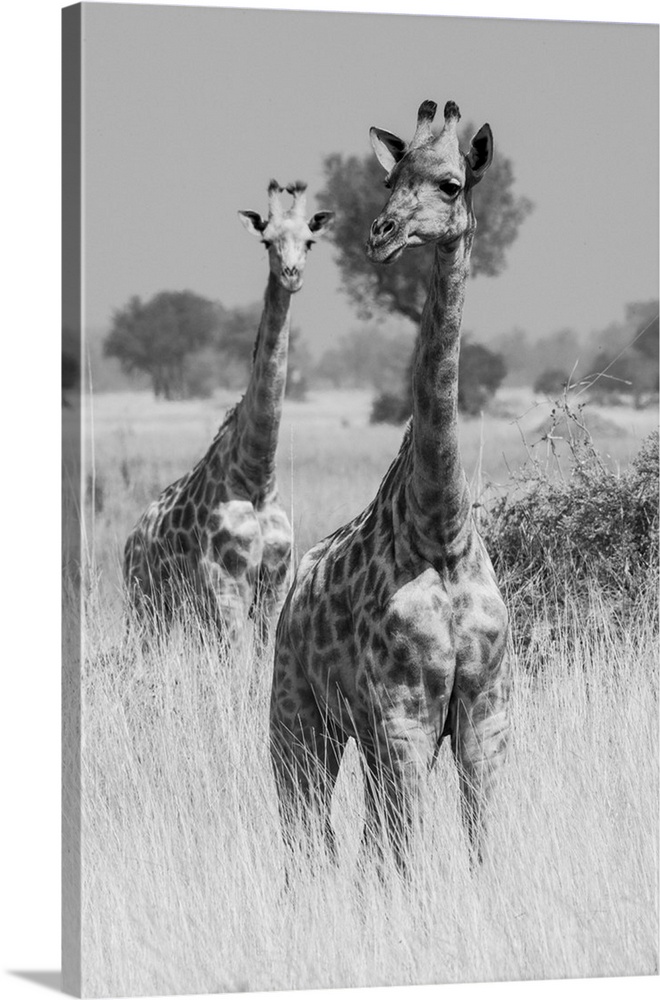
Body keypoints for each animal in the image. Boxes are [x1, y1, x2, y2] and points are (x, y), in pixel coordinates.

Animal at [122, 182, 336, 648]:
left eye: (309, 242)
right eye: (266, 241)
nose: (291, 274)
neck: (256, 475)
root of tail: (131, 538)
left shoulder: (274, 582)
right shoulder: (225, 585)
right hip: (144, 606)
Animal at [268, 103, 510, 868]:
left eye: (451, 184)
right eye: (389, 179)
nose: (381, 234)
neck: (443, 530)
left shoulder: (485, 713)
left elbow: (481, 845)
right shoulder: (404, 713)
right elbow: (403, 854)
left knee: (356, 833)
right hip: (298, 711)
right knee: (308, 825)